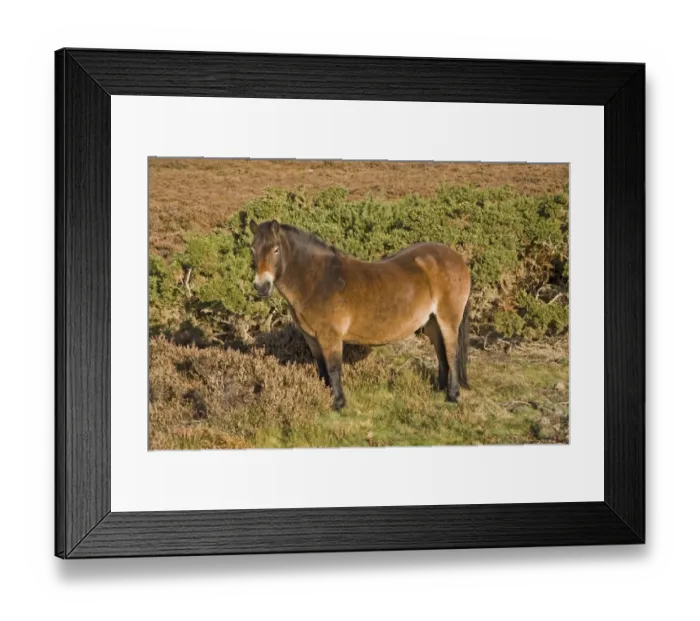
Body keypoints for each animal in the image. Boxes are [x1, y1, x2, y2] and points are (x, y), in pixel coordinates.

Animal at [248, 219, 472, 411]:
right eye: (252, 249)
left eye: (275, 249)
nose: (261, 287)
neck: (317, 281)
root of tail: (456, 258)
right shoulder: (311, 337)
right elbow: (321, 368)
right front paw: (325, 396)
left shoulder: (330, 337)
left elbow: (334, 368)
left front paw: (338, 403)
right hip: (432, 322)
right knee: (441, 352)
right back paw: (439, 389)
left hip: (448, 319)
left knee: (451, 353)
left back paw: (452, 395)